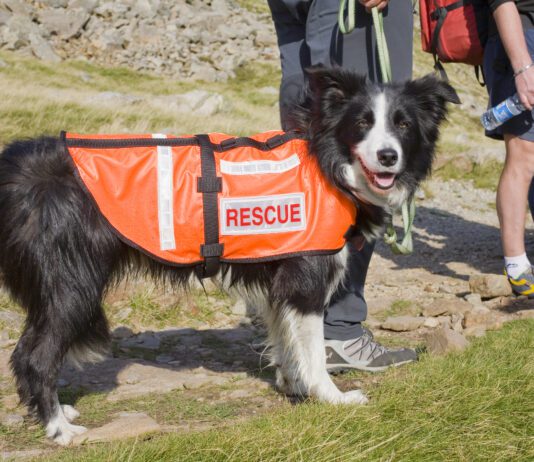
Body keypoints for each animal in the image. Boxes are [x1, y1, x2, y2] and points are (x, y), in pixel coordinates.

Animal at [0, 67, 460, 444]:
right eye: (363, 123)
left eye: (403, 124)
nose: (388, 156)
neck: (329, 165)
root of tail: (15, 166)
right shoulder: (307, 279)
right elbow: (313, 352)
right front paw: (331, 397)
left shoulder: (278, 280)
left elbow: (285, 341)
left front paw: (292, 386)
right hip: (72, 282)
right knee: (35, 355)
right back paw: (59, 428)